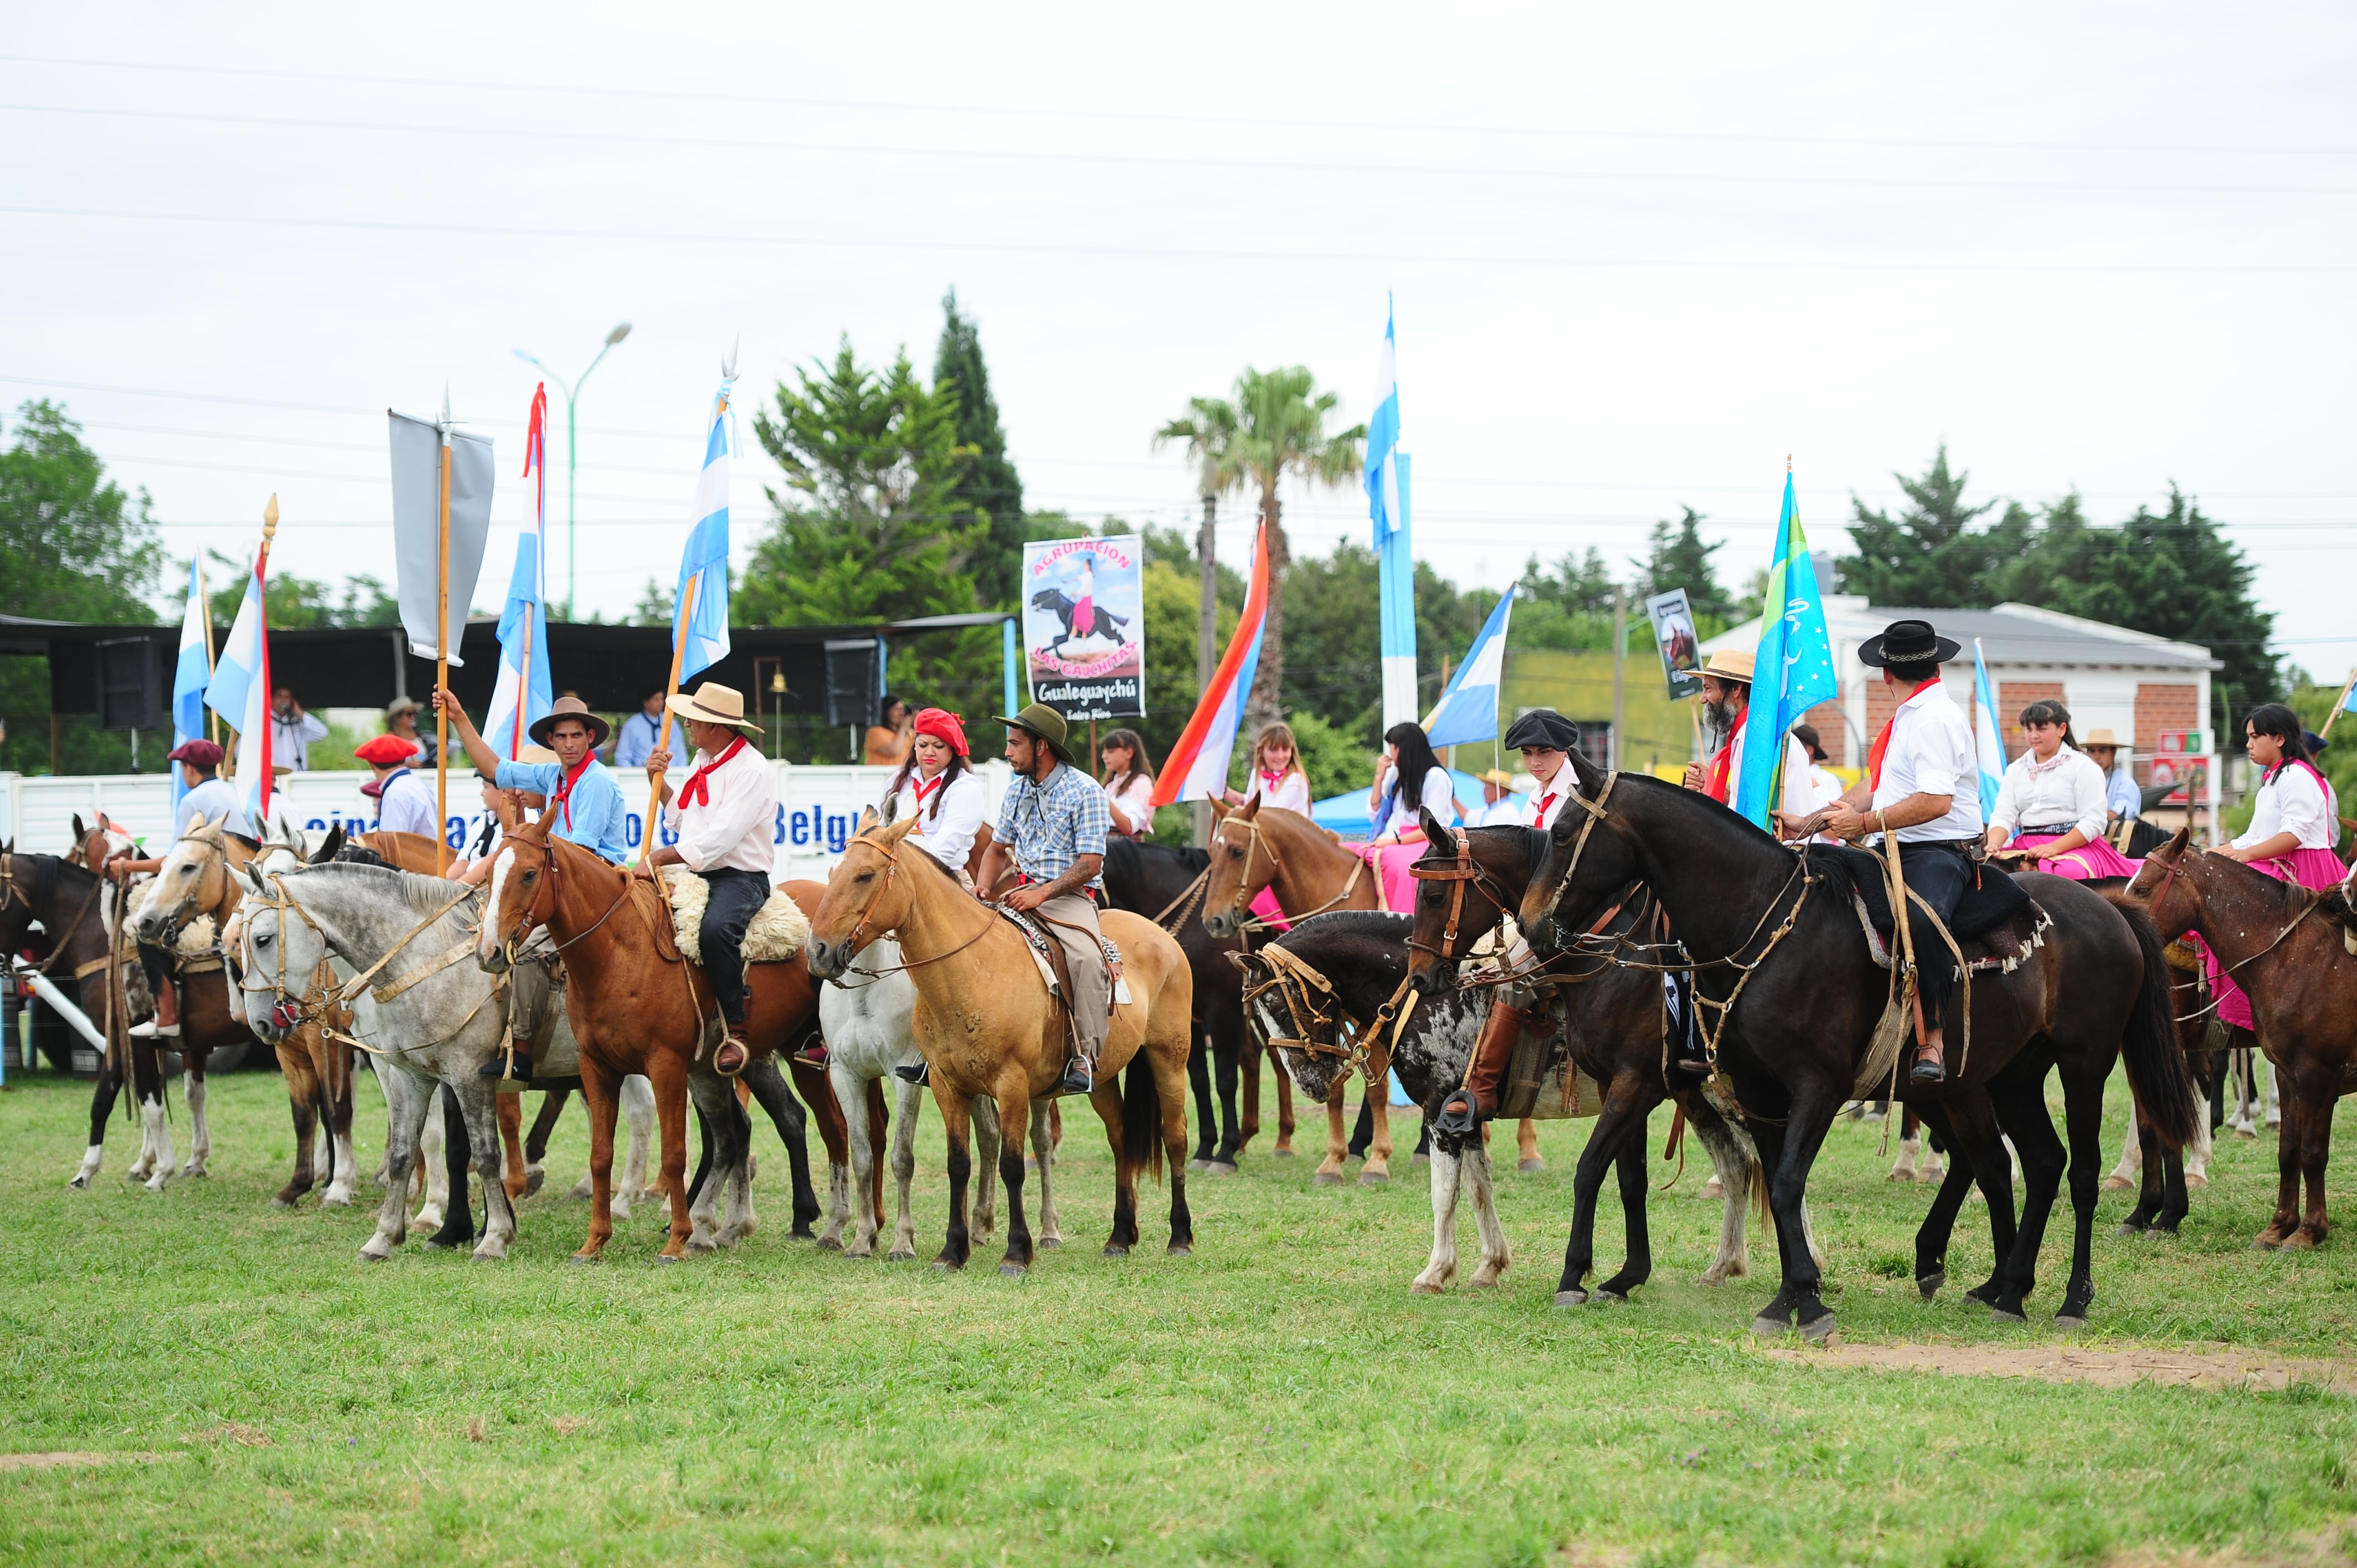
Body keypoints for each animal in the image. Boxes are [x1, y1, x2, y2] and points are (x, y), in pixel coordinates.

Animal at [474, 821, 853, 1263]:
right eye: (488, 874)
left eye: (530, 874)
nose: (489, 951)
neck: (622, 953)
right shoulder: (596, 1068)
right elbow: (601, 1156)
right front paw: (595, 1241)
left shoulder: (665, 1066)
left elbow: (674, 1153)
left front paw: (675, 1241)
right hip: (717, 1070)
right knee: (734, 1136)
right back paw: (719, 1229)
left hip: (801, 1057)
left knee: (833, 1129)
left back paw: (831, 1227)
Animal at [806, 811, 1197, 1282]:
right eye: (833, 874)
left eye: (864, 875)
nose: (818, 951)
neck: (973, 969)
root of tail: (1162, 934)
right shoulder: (944, 1084)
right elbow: (958, 1163)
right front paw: (951, 1251)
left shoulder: (1011, 1086)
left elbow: (1011, 1165)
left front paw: (1015, 1253)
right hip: (1101, 1076)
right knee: (1120, 1139)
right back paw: (1120, 1237)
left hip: (1169, 1059)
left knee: (1174, 1138)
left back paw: (1179, 1237)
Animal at [1103, 839, 1291, 1169]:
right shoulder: (1189, 1020)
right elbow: (1200, 1083)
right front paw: (1206, 1148)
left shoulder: (1222, 1013)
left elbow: (1225, 1080)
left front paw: (1225, 1153)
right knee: (1256, 1056)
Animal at [1517, 754, 2196, 1339]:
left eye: (1563, 832)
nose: (1529, 925)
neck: (1764, 924)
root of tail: (2111, 908)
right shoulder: (1758, 1091)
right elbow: (1773, 1183)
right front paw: (1790, 1297)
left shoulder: (1812, 1087)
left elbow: (1782, 1183)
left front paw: (1807, 1305)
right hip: (2009, 1077)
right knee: (2036, 1163)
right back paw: (2006, 1291)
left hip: (2081, 1067)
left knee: (2077, 1172)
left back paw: (2072, 1299)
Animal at [2121, 830, 2357, 1245]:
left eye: (2144, 888)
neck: (2296, 957)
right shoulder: (2289, 1074)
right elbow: (2289, 1152)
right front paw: (2278, 1228)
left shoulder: (2318, 1076)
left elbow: (2313, 1152)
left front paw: (2309, 1232)